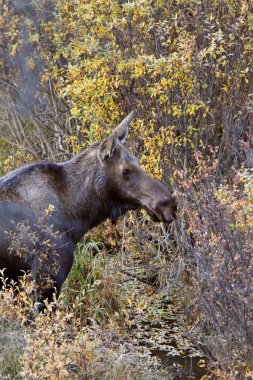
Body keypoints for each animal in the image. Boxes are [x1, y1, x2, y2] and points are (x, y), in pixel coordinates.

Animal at [0, 111, 176, 304]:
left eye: (137, 161)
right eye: (125, 170)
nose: (169, 204)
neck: (77, 214)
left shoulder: (16, 279)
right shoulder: (49, 272)